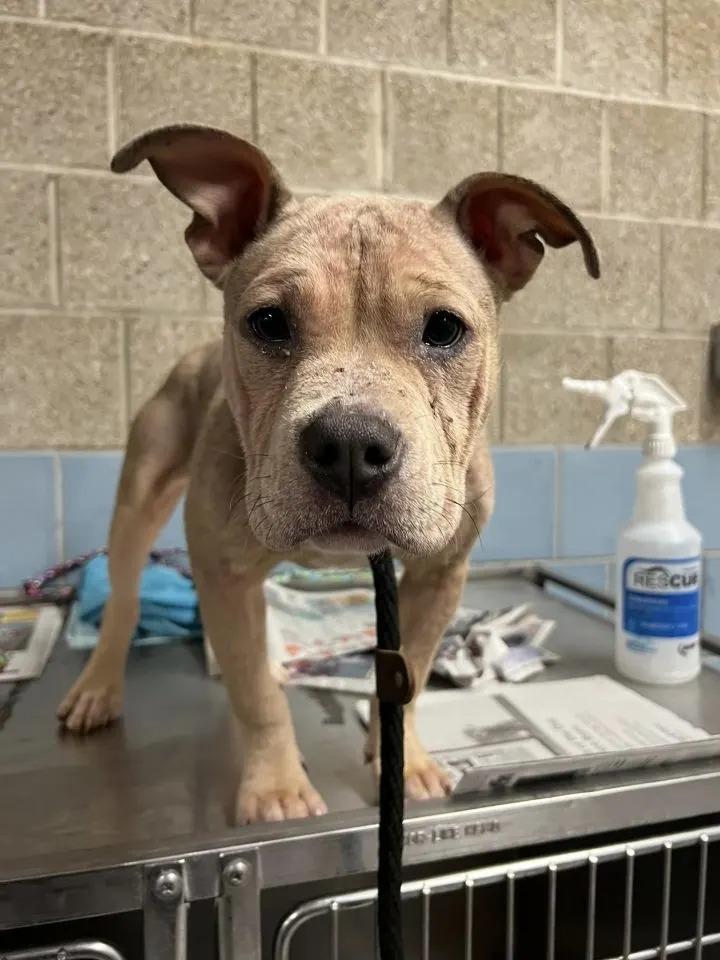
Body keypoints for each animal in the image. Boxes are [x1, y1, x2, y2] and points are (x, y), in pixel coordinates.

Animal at [56, 127, 600, 824]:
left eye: (444, 328)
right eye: (268, 322)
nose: (349, 445)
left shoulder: (438, 575)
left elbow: (410, 676)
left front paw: (404, 760)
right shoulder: (226, 570)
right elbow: (257, 699)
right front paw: (276, 786)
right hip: (139, 500)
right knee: (125, 599)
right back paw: (99, 686)